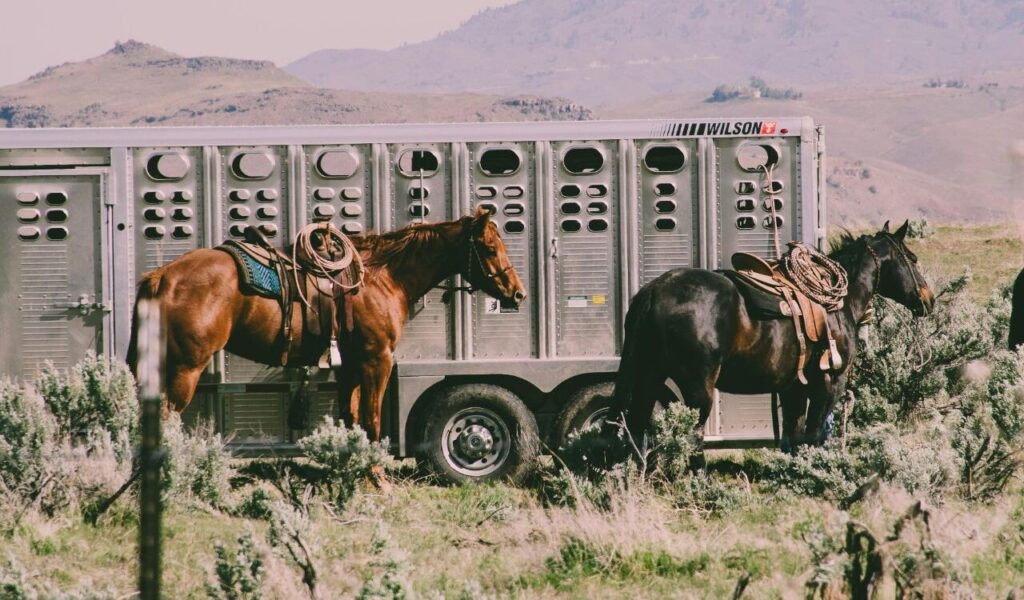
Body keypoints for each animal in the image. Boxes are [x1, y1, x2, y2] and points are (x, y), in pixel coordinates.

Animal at [126, 207, 526, 441]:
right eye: (490, 248)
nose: (517, 293)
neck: (382, 278)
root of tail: (162, 277)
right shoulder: (377, 359)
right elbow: (373, 420)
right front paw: (379, 480)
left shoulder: (350, 365)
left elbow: (352, 417)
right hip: (185, 369)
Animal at [607, 220, 934, 453]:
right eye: (913, 258)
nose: (929, 300)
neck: (839, 304)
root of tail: (654, 290)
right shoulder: (830, 383)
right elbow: (814, 435)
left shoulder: (794, 388)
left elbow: (795, 436)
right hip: (697, 390)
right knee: (690, 438)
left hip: (650, 377)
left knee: (636, 429)